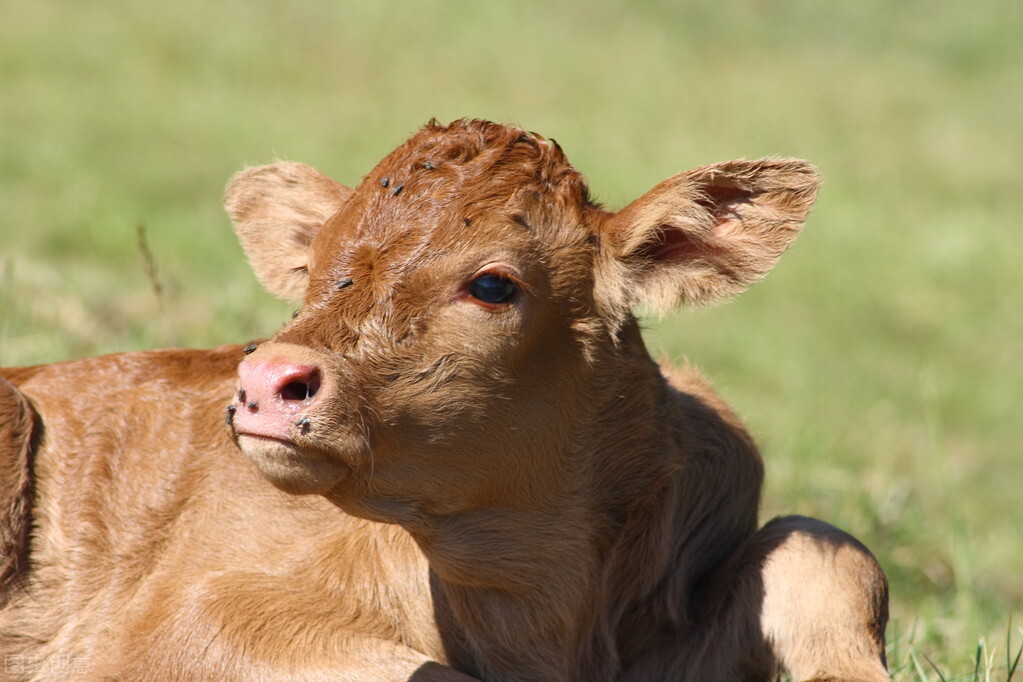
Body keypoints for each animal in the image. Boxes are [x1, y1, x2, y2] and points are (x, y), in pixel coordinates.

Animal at [0, 120, 887, 678]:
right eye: (314, 266)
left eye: (492, 284)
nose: (262, 381)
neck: (542, 618)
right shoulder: (188, 622)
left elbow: (821, 548)